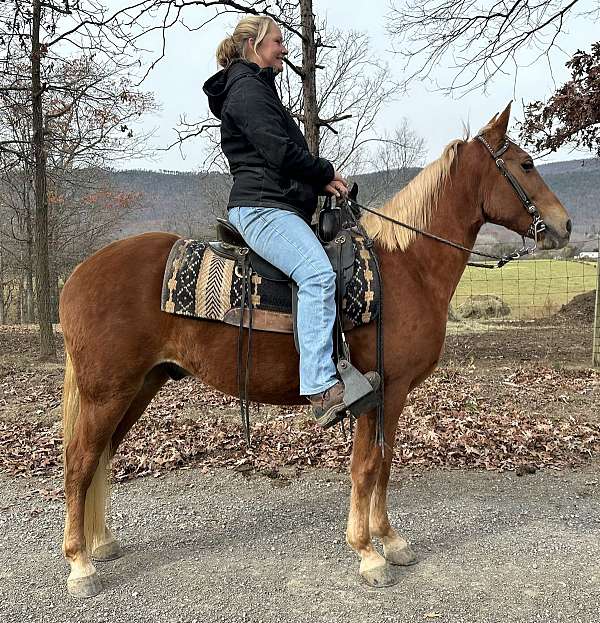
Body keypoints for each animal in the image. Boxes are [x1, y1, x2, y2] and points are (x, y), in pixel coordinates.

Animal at [59, 105, 572, 596]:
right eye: (525, 165)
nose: (564, 226)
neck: (407, 268)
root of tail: (80, 273)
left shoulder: (392, 396)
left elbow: (384, 465)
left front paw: (390, 541)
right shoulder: (382, 392)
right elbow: (367, 467)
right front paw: (368, 553)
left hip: (138, 387)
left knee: (101, 457)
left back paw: (101, 543)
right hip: (107, 393)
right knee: (80, 463)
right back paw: (80, 565)